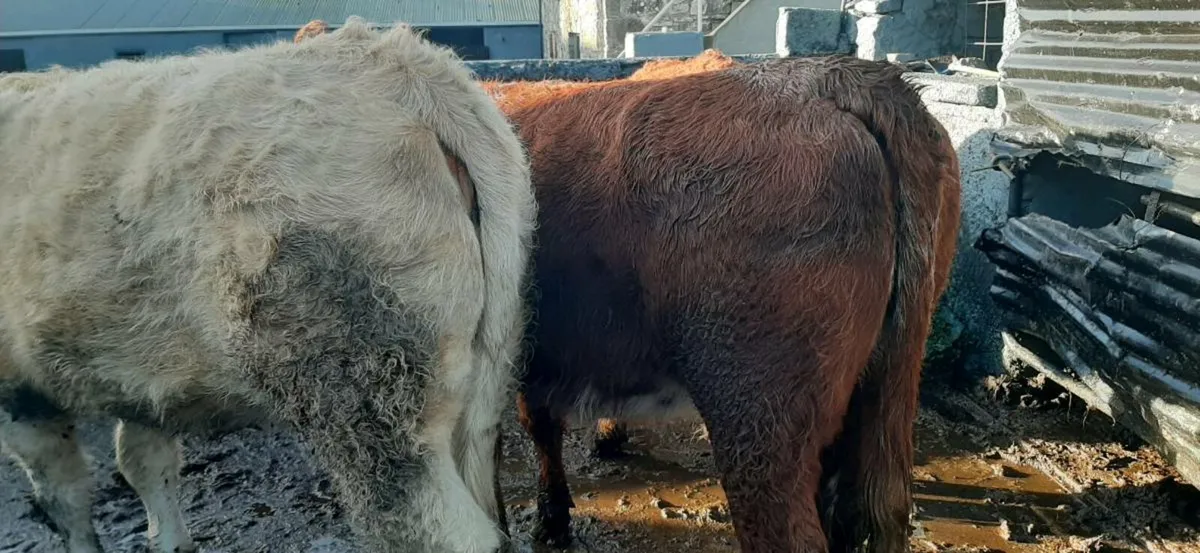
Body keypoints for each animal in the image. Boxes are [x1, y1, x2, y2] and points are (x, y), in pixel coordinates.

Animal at [0, 17, 535, 553]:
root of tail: (402, 70)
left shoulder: (19, 391)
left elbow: (64, 496)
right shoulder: (139, 382)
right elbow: (144, 464)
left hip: (364, 391)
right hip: (481, 383)